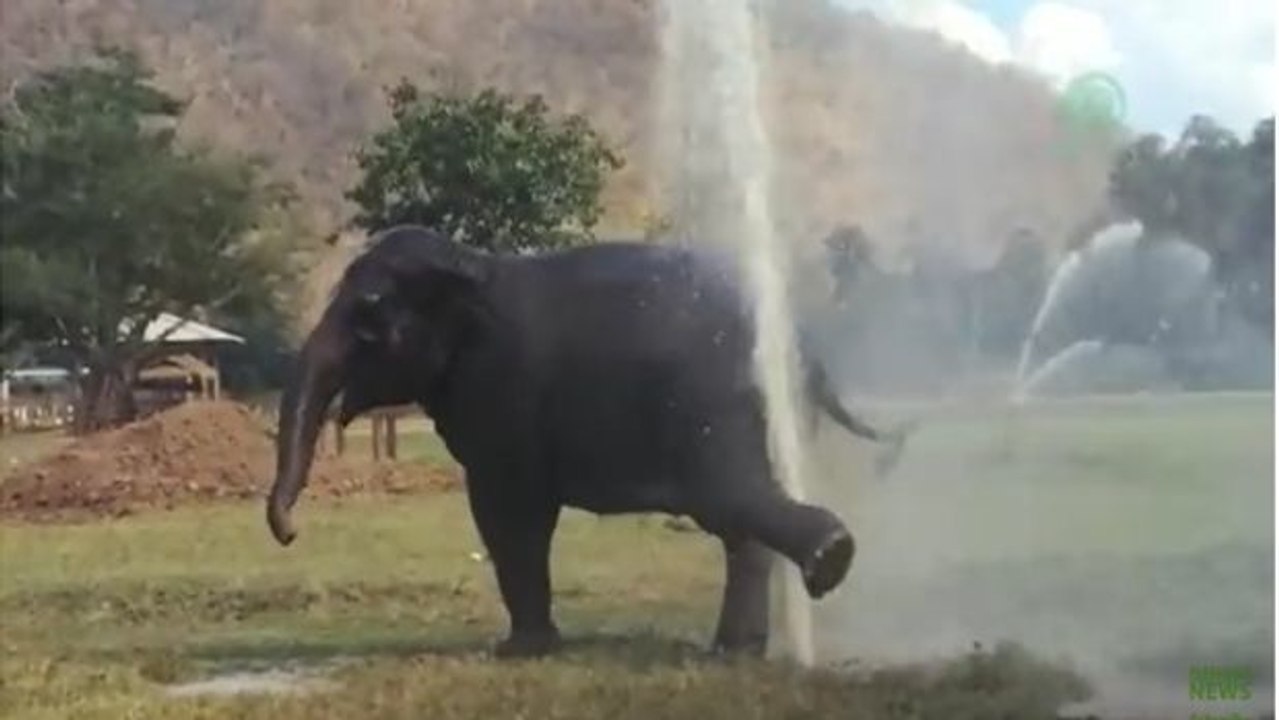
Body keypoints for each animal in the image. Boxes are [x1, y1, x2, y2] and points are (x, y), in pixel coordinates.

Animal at [266, 224, 914, 658]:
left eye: (368, 317)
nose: (290, 532)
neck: (474, 265)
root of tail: (805, 344)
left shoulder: (502, 391)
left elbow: (507, 512)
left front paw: (518, 652)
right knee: (739, 515)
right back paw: (741, 645)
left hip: (713, 401)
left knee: (729, 496)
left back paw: (824, 563)